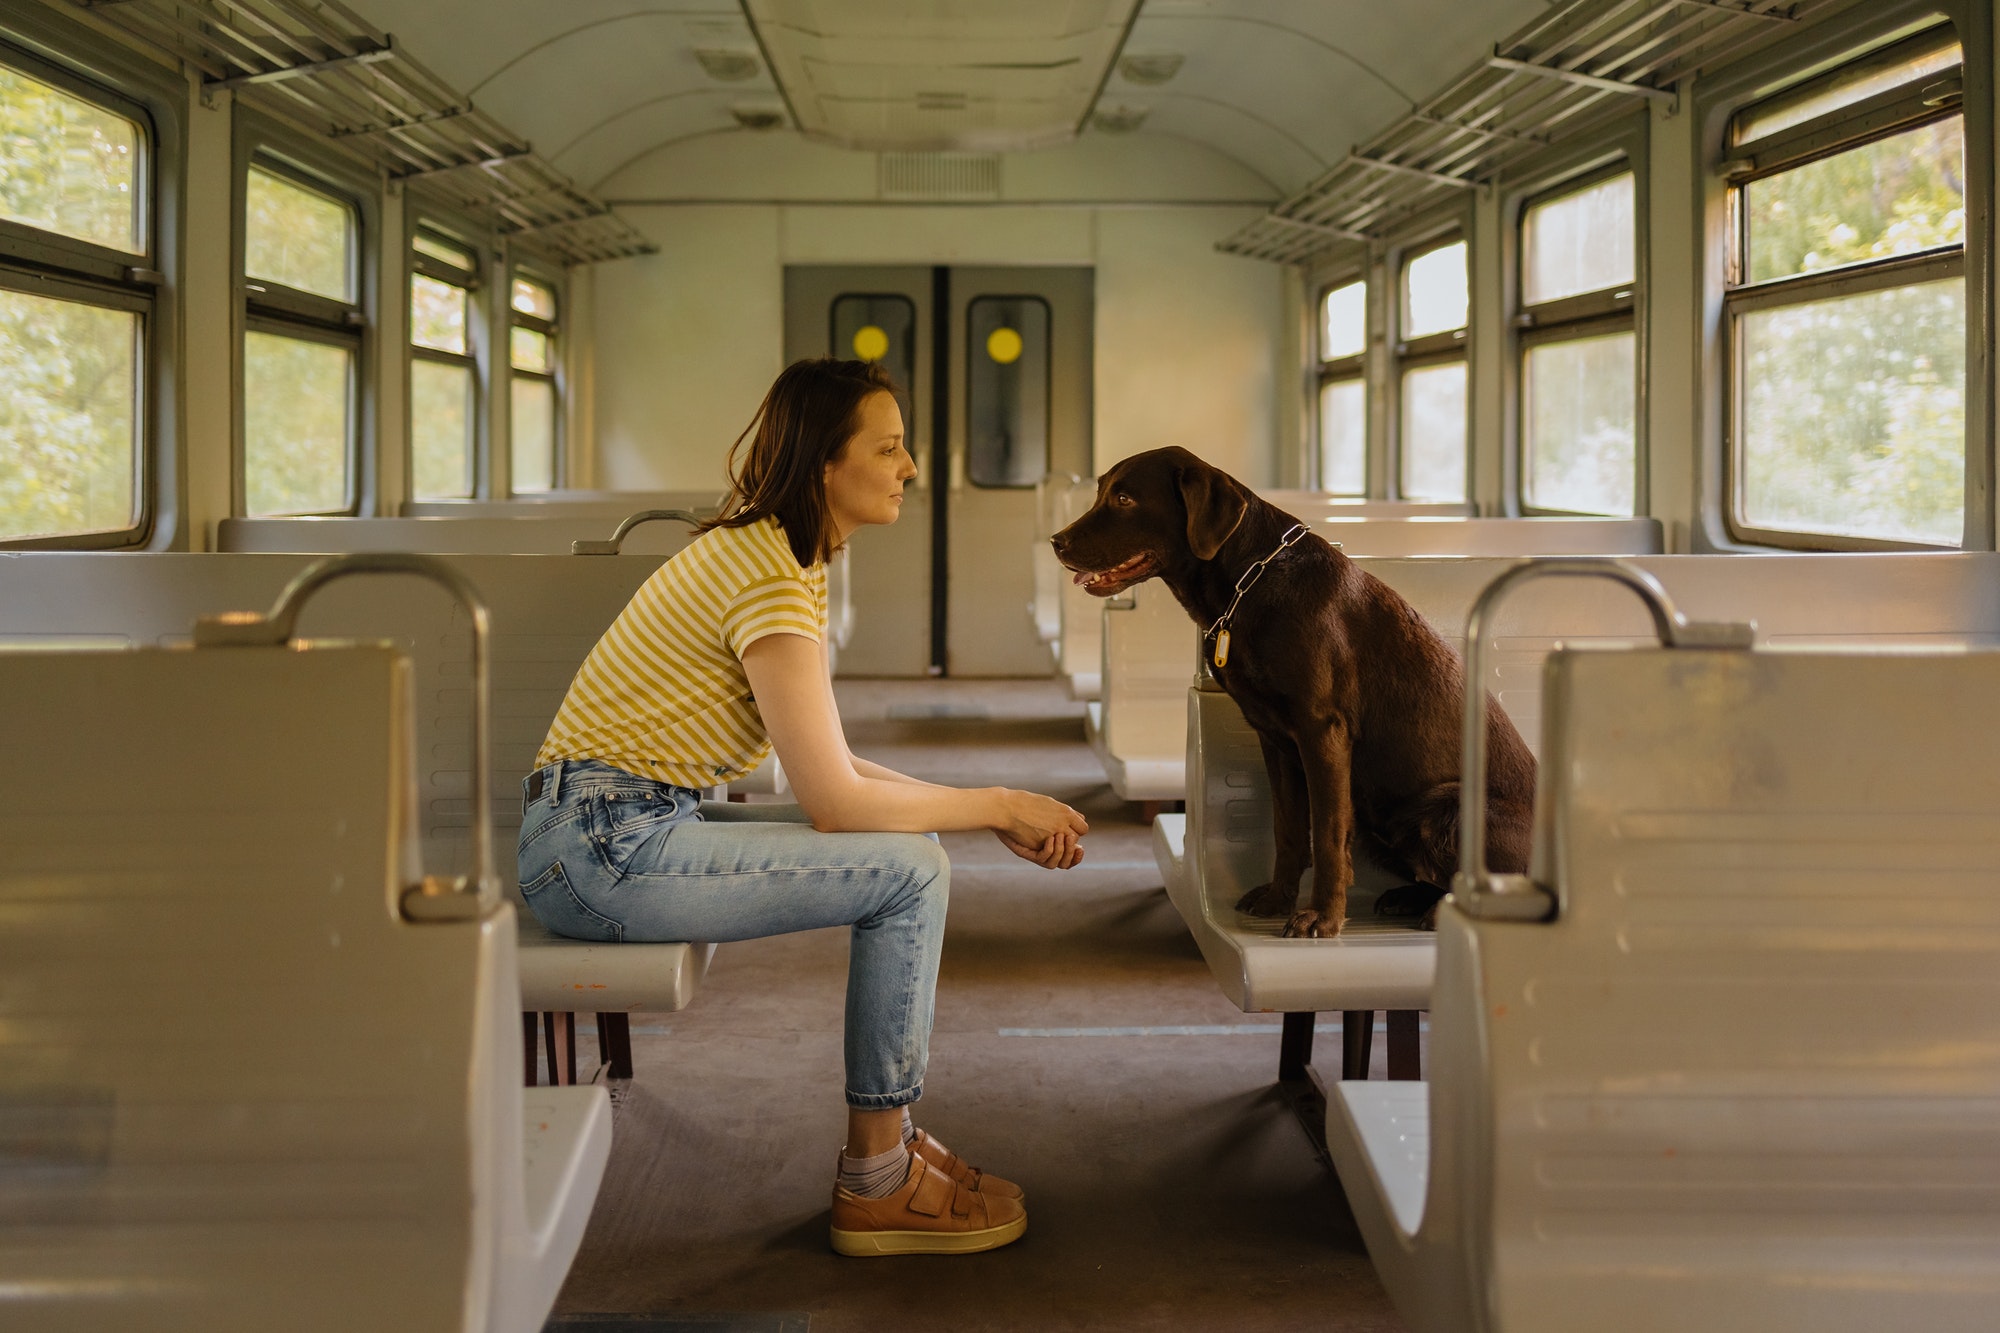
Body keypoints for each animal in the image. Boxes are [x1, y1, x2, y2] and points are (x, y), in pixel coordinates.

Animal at [1056, 446, 1536, 932]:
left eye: (1125, 499)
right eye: (1101, 492)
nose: (1057, 541)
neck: (1251, 581)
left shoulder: (1322, 732)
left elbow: (1326, 836)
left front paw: (1322, 915)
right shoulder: (1276, 740)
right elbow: (1287, 830)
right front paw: (1277, 899)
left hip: (1447, 804)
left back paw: (1437, 912)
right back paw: (1407, 898)